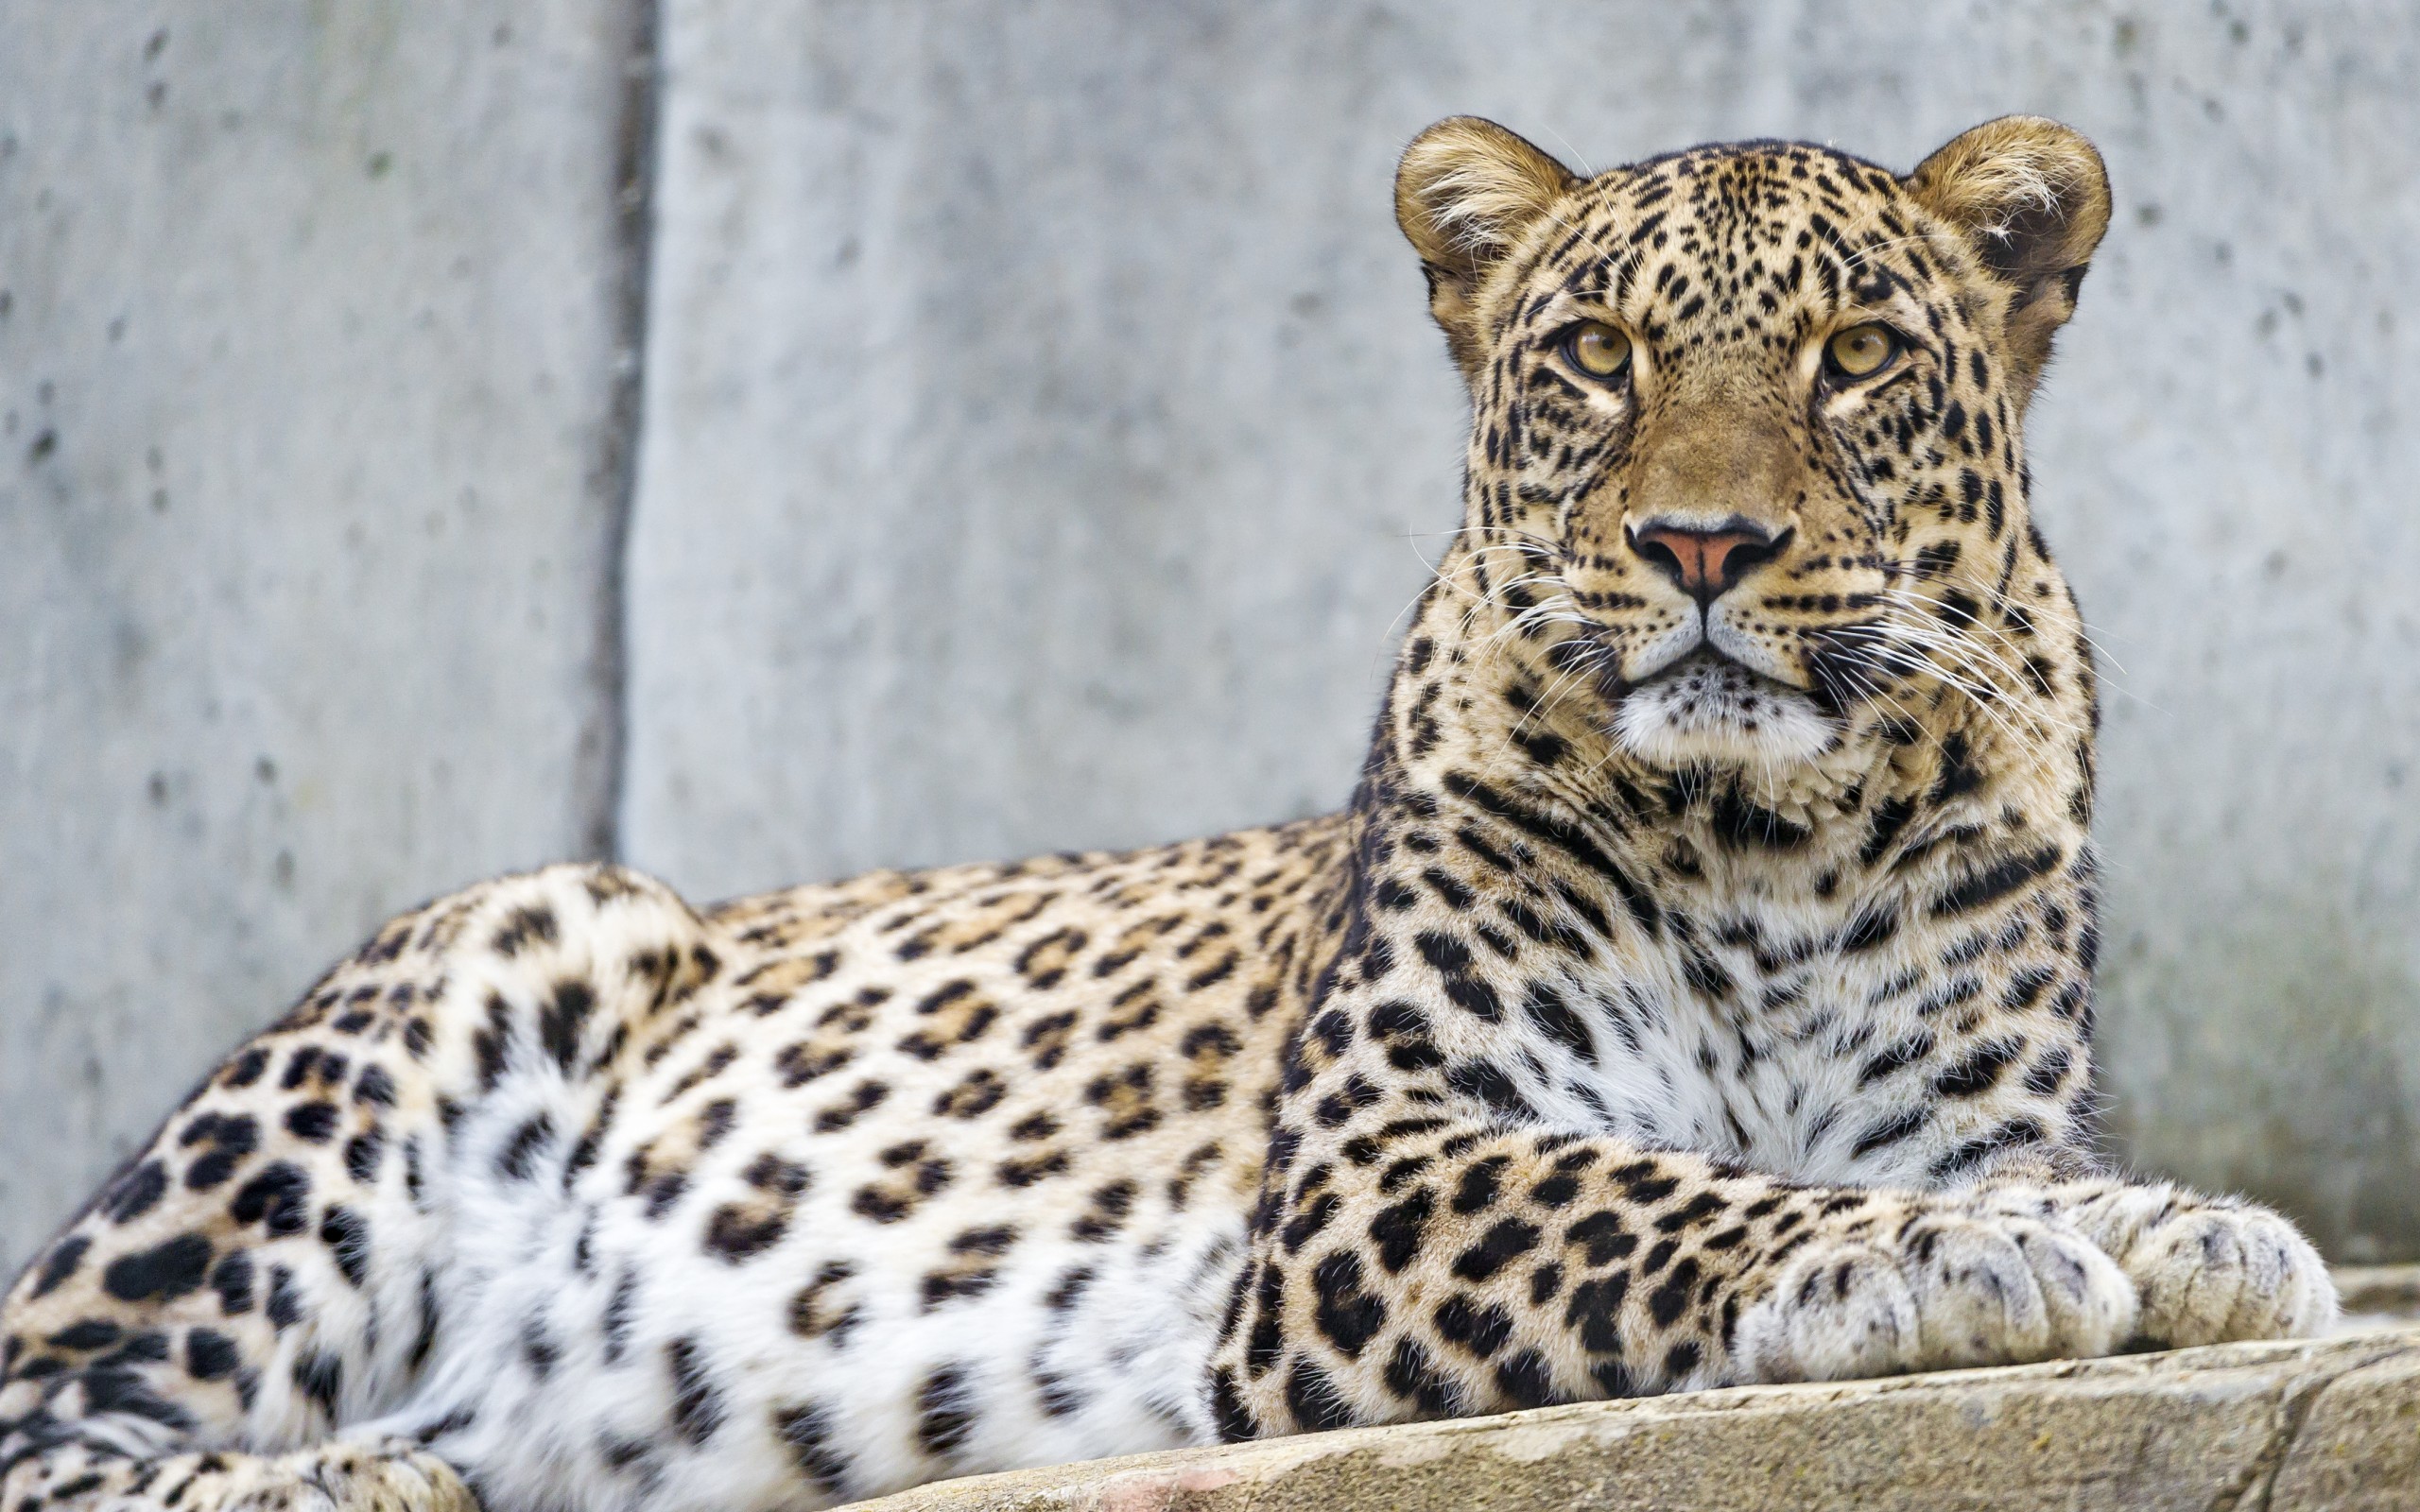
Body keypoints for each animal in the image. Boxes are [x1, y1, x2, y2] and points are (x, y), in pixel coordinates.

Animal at [5, 117, 2342, 1509]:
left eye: (1854, 354)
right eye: (1592, 350)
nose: (1696, 545)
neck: (1771, 827)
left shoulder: (1961, 1085)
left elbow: (1997, 1167)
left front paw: (2175, 1226)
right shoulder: (1375, 1163)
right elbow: (1680, 1192)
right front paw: (1949, 1248)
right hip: (504, 944)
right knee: (56, 1411)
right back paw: (367, 1472)